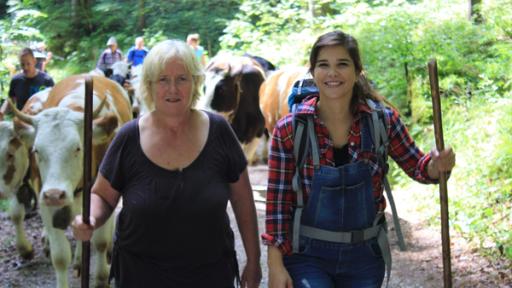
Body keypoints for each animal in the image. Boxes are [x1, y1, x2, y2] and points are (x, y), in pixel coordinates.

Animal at [8, 75, 132, 288]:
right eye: (36, 150)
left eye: (77, 148)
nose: (54, 194)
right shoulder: (45, 200)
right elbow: (60, 256)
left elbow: (100, 242)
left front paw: (101, 277)